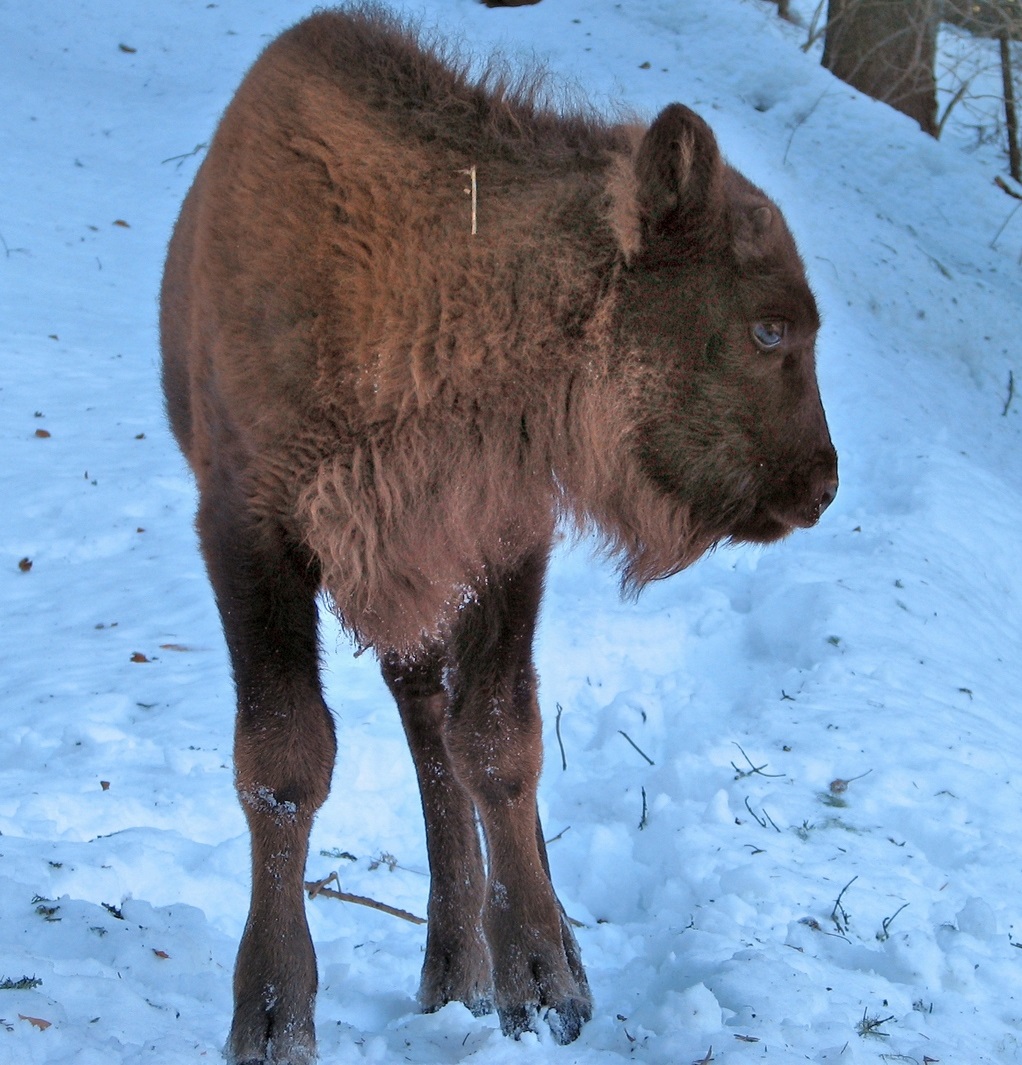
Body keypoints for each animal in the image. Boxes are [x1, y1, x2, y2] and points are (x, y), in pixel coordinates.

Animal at [159, 6, 838, 1056]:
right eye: (769, 329)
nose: (822, 484)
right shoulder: (249, 533)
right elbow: (285, 764)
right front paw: (271, 1016)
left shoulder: (504, 538)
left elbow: (500, 742)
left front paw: (545, 980)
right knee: (420, 725)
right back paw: (453, 965)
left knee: (447, 731)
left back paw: (483, 962)